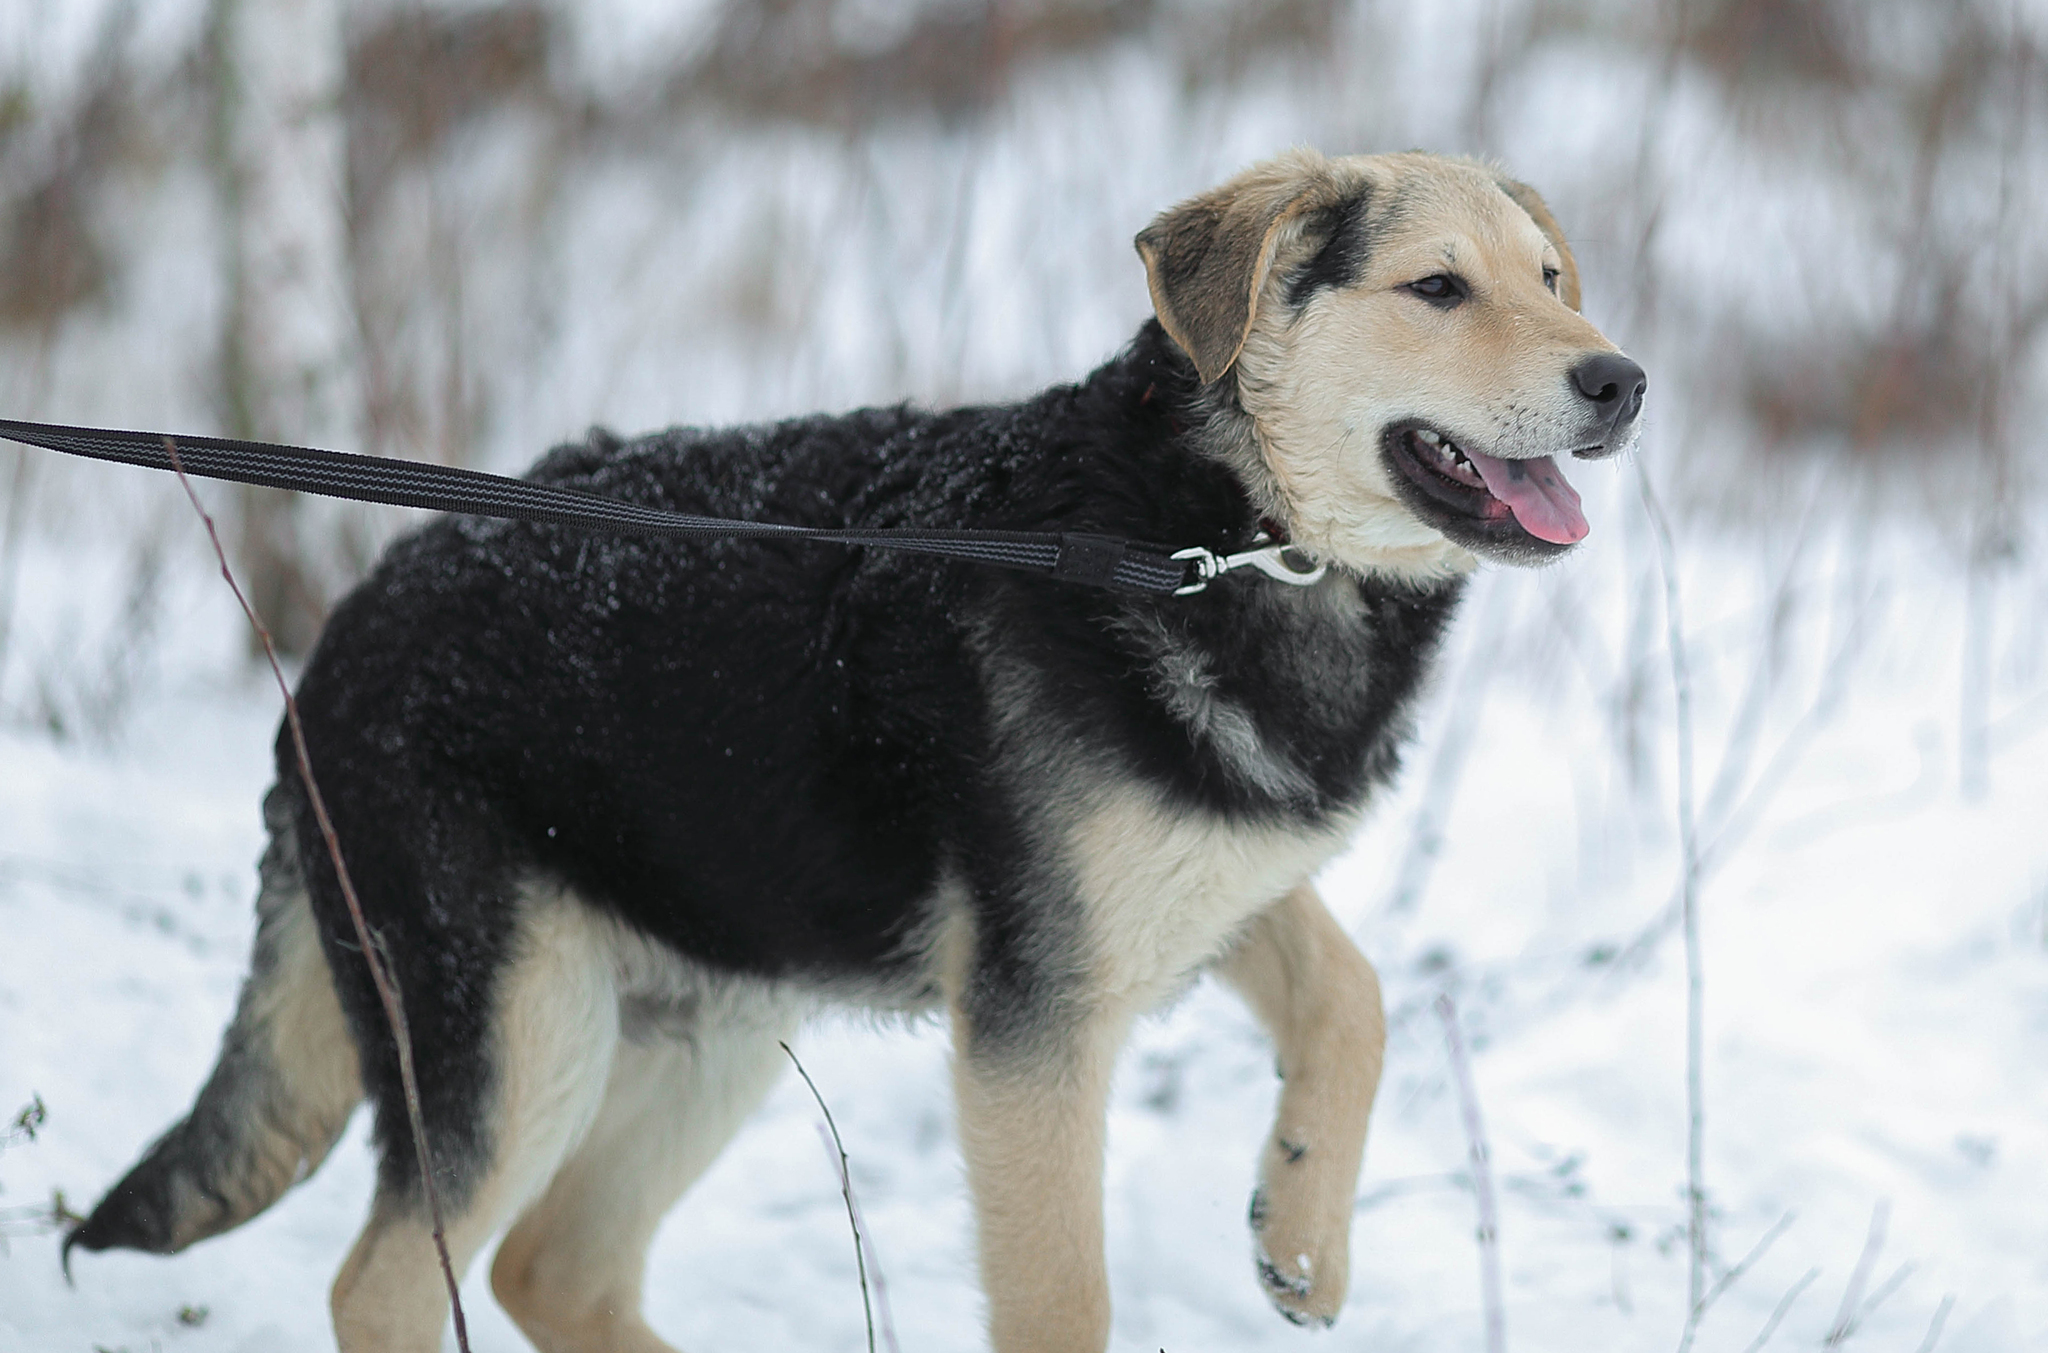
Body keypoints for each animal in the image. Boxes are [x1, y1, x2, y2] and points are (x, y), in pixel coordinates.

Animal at [64, 150, 1646, 1350]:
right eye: (1437, 288)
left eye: (1550, 282)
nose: (1622, 382)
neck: (1213, 532)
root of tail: (339, 640)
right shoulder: (1032, 1016)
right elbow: (1063, 1297)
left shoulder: (1193, 882)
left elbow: (1353, 995)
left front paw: (1302, 1225)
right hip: (517, 1036)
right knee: (390, 1287)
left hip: (705, 1023)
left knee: (549, 1269)